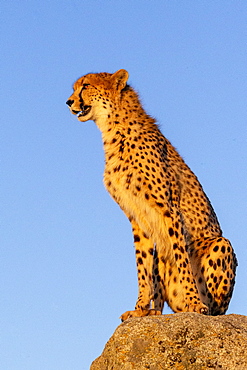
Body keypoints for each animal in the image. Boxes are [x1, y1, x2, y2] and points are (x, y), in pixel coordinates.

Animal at [66, 69, 237, 320]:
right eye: (76, 88)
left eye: (85, 86)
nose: (68, 102)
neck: (113, 131)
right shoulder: (137, 216)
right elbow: (142, 266)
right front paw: (140, 309)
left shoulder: (169, 210)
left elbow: (182, 259)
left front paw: (195, 303)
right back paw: (154, 311)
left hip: (220, 244)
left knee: (217, 309)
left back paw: (203, 308)